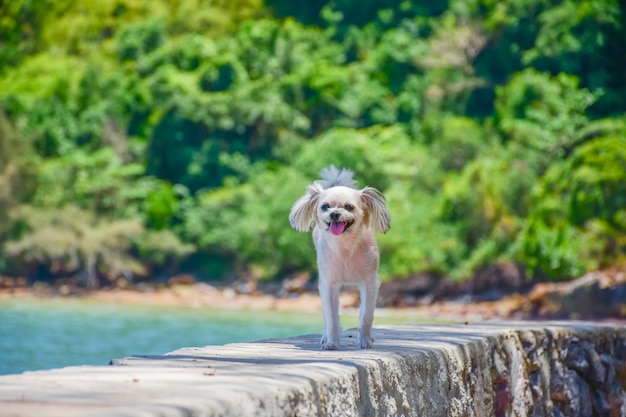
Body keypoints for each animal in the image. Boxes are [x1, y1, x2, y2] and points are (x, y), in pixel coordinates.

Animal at [288, 164, 390, 350]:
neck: (345, 246)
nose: (334, 213)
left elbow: (366, 314)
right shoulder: (329, 284)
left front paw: (365, 340)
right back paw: (324, 336)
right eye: (325, 207)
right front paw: (331, 342)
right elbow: (332, 318)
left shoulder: (370, 282)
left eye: (349, 207)